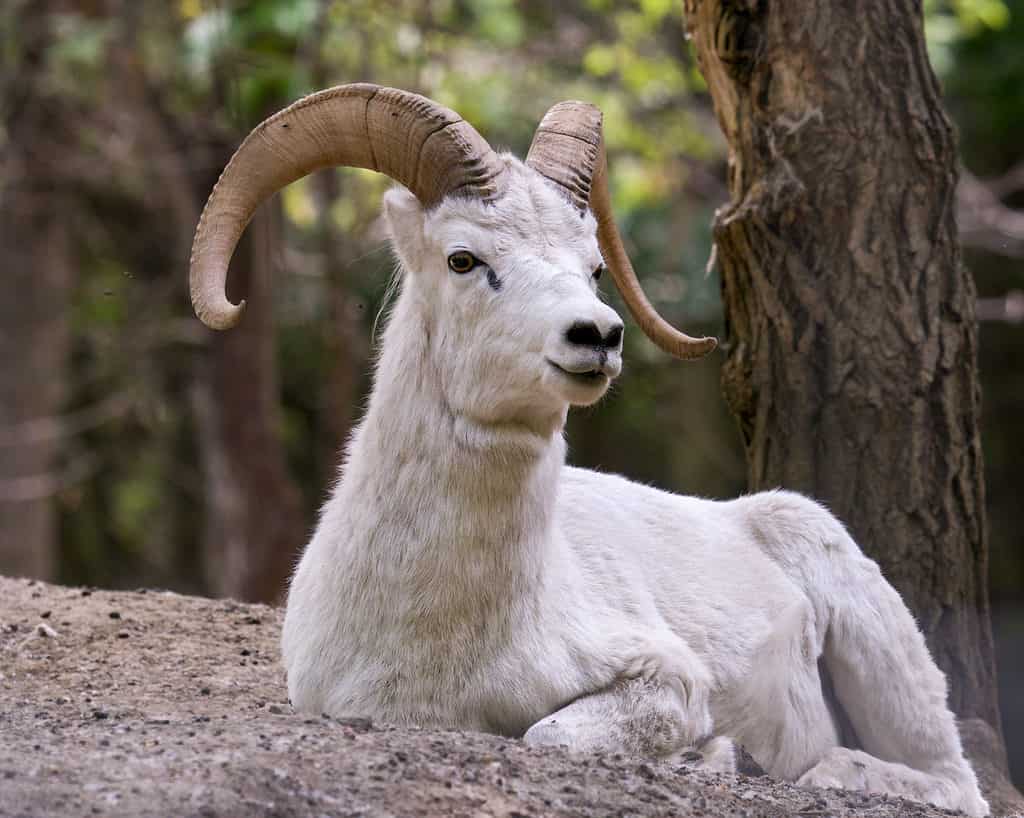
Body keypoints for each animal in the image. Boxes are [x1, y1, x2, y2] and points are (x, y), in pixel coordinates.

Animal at [188, 84, 987, 818]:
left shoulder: (666, 679)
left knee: (951, 783)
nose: (596, 337)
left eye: (594, 267)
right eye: (462, 259)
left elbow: (547, 734)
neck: (443, 633)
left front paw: (715, 757)